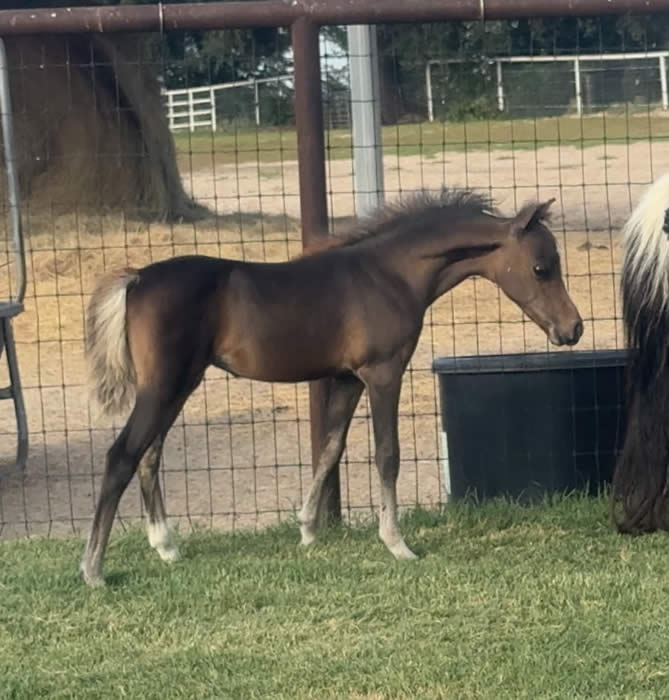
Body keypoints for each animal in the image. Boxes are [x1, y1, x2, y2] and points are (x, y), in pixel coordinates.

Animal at [80, 187, 583, 587]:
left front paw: (306, 529)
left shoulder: (344, 379)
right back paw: (94, 569)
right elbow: (386, 454)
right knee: (122, 455)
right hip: (164, 386)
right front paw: (397, 543)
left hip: (178, 386)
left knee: (149, 454)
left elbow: (329, 447)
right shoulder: (383, 374)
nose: (573, 329)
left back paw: (166, 546)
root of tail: (136, 278)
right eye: (542, 268)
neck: (390, 274)